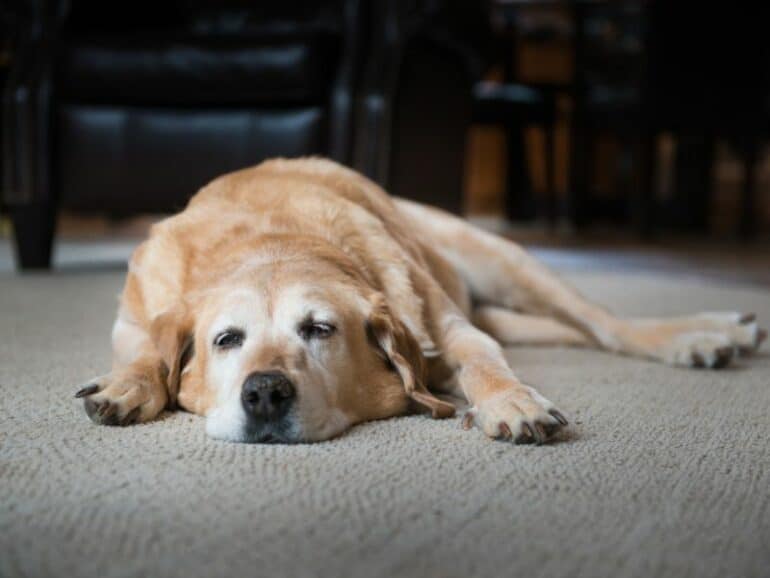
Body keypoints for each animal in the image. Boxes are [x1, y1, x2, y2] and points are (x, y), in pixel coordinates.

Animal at [75, 156, 764, 440]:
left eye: (319, 329)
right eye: (226, 340)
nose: (265, 392)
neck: (274, 238)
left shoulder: (453, 330)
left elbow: (484, 364)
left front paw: (511, 402)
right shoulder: (133, 319)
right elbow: (146, 353)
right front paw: (126, 386)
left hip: (502, 260)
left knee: (604, 324)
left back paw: (701, 335)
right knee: (574, 332)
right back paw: (722, 332)